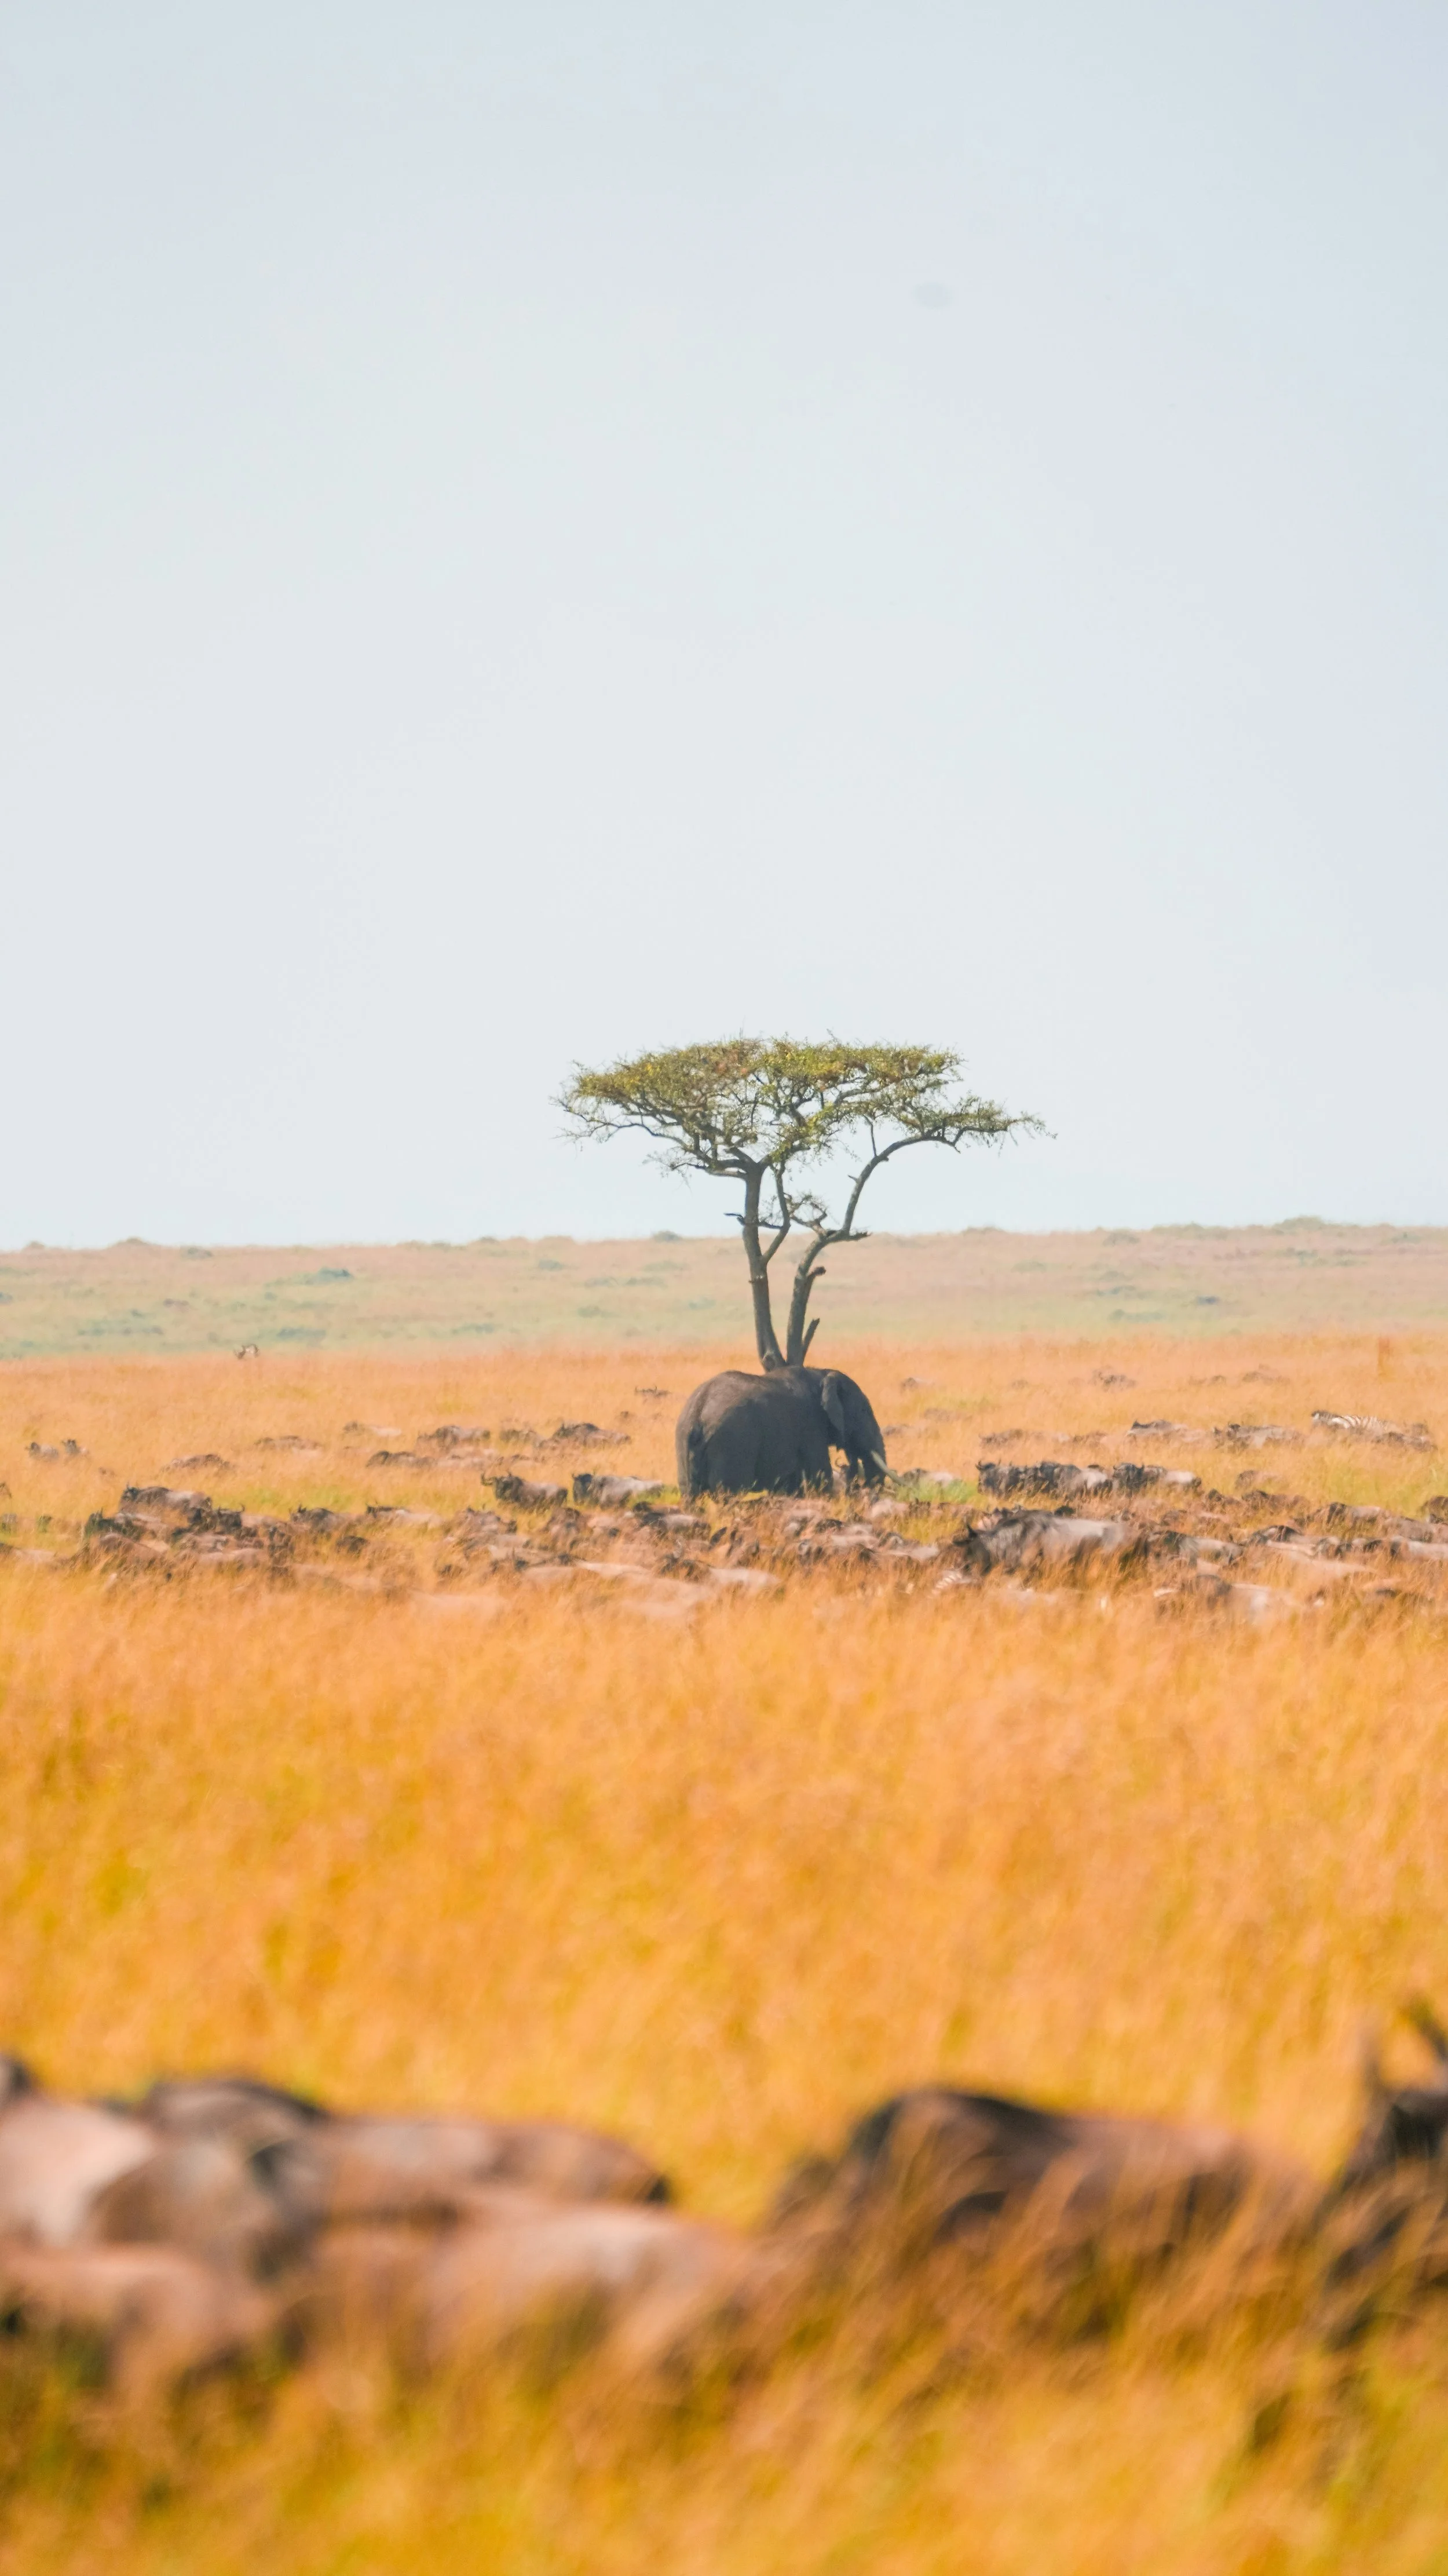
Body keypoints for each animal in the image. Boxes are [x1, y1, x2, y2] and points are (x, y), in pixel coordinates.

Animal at [675, 1366, 888, 1500]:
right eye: (865, 1412)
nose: (861, 1488)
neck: (821, 1374)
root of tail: (698, 1413)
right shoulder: (810, 1427)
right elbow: (819, 1477)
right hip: (731, 1445)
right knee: (728, 1494)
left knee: (690, 1496)